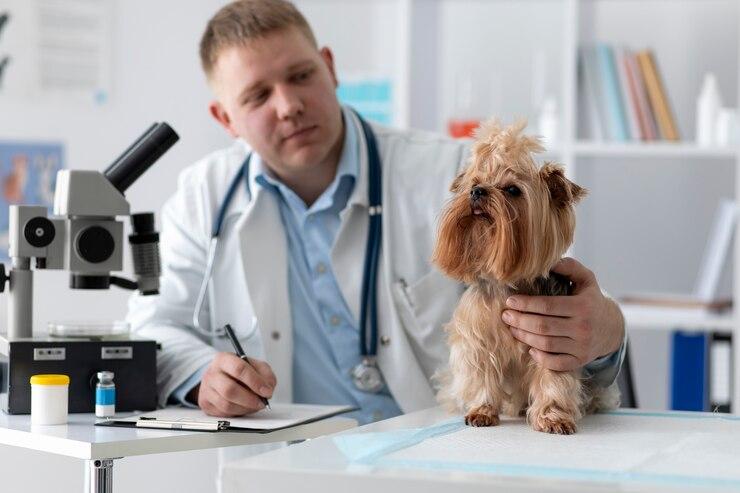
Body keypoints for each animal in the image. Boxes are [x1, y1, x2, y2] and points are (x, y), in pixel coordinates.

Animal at [434, 117, 620, 432]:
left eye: (512, 190)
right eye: (474, 183)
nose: (477, 192)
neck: (506, 284)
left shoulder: (554, 343)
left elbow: (553, 378)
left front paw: (553, 416)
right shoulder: (477, 338)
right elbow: (481, 373)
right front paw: (481, 410)